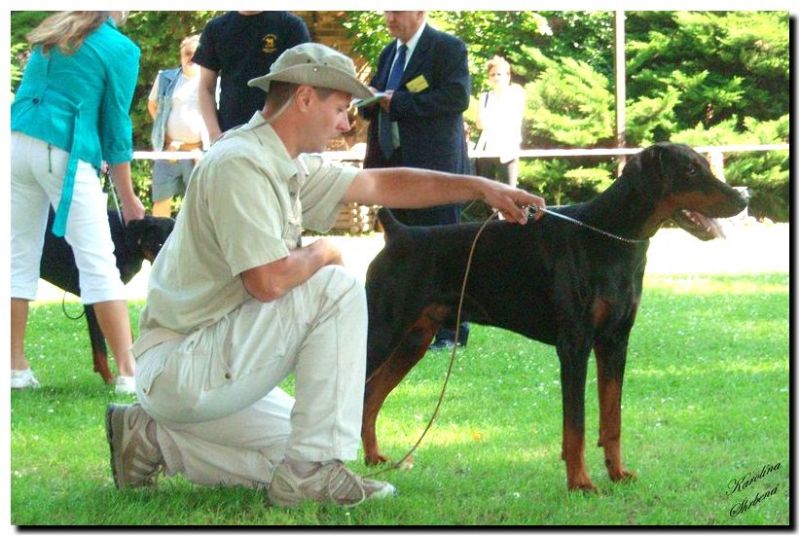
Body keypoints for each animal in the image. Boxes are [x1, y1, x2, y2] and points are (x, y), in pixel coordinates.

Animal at [362, 142, 748, 492]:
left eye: (705, 166)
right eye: (691, 170)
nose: (743, 199)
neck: (614, 239)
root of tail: (399, 233)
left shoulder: (616, 342)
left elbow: (613, 419)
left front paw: (617, 474)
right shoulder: (575, 345)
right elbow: (575, 424)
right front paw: (580, 483)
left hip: (414, 341)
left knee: (370, 397)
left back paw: (373, 458)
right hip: (381, 333)